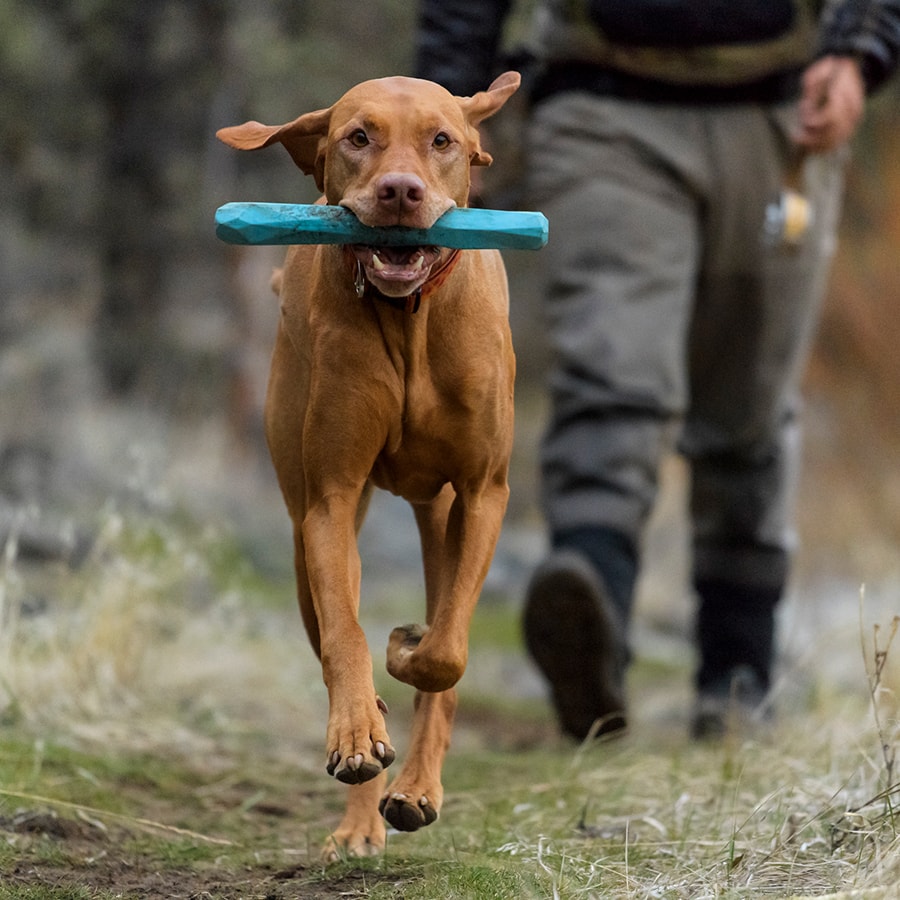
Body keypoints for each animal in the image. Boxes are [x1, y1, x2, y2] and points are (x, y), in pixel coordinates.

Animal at [215, 72, 520, 856]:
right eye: (358, 137)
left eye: (442, 140)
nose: (401, 192)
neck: (409, 320)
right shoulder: (330, 498)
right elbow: (346, 638)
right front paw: (358, 734)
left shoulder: (483, 492)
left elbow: (445, 654)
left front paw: (408, 646)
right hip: (304, 536)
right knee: (332, 635)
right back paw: (363, 806)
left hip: (441, 516)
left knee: (446, 644)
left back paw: (416, 789)